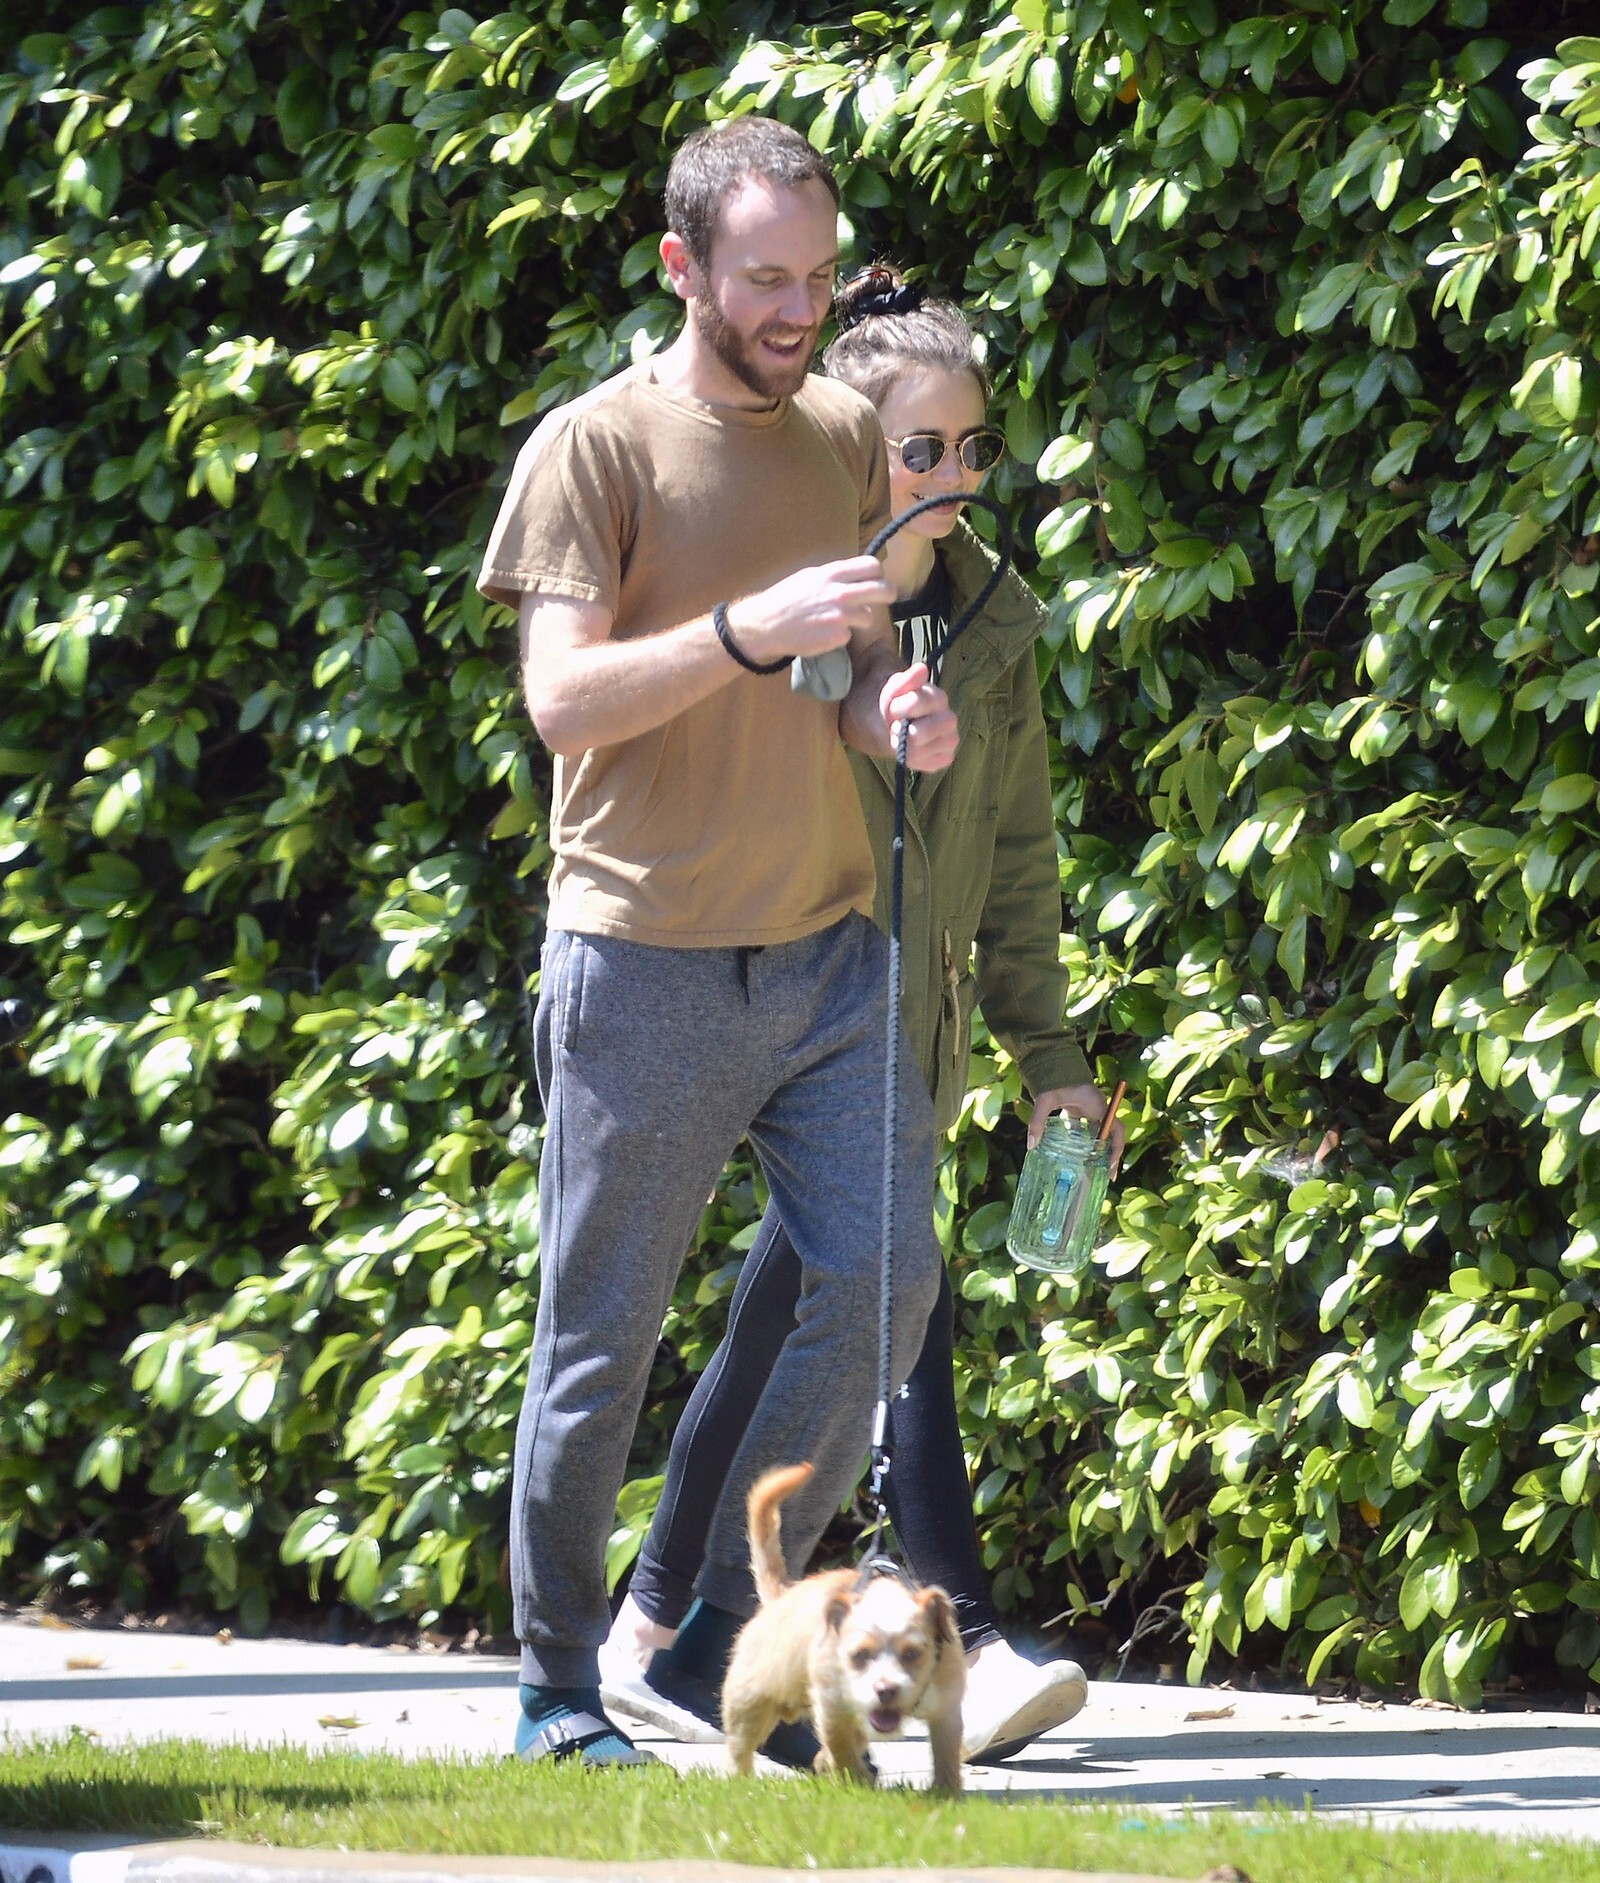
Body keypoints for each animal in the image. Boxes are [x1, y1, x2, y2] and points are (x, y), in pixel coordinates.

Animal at [721, 1462, 966, 1792]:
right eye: (859, 1656)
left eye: (913, 1654)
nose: (886, 1690)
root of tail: (779, 1598)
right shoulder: (832, 1706)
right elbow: (842, 1748)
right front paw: (857, 1782)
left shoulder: (948, 1709)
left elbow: (947, 1753)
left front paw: (946, 1793)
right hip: (748, 1701)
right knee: (740, 1746)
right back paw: (738, 1780)